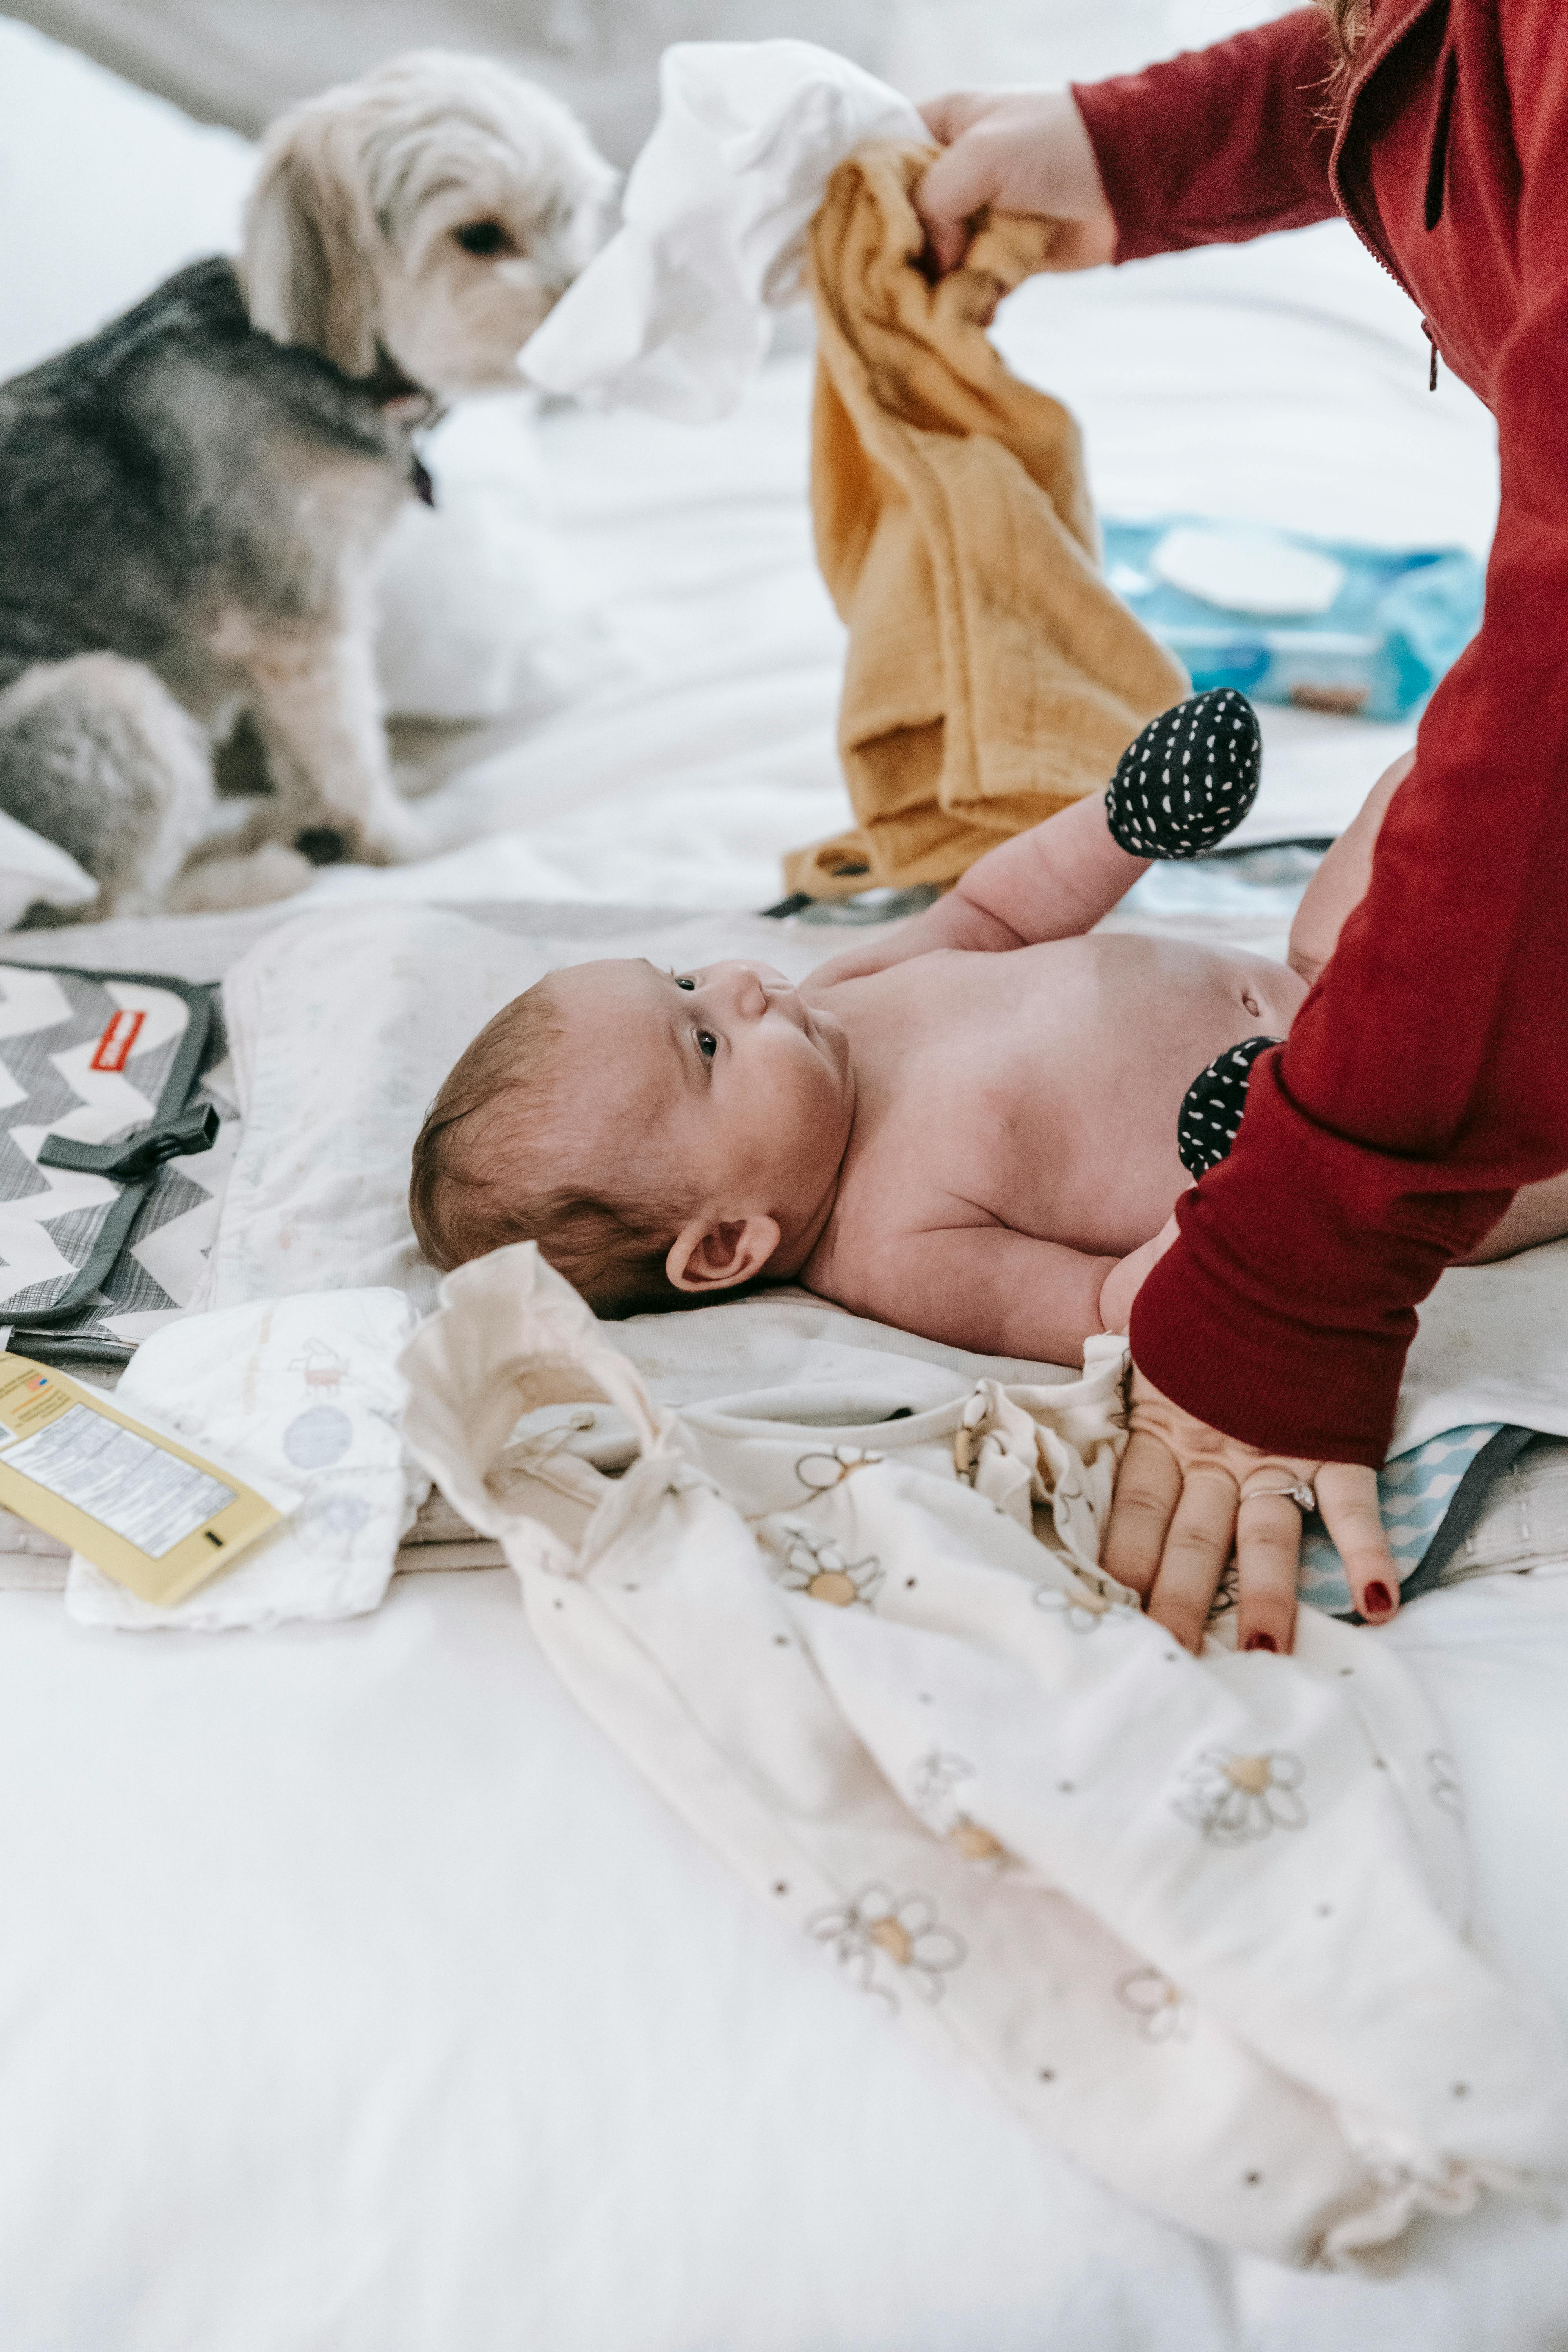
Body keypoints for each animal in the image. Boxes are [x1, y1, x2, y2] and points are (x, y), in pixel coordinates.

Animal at [0, 53, 621, 917]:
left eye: (573, 214)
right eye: (479, 237)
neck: (322, 364)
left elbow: (307, 755)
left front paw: (330, 813)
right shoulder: (300, 624)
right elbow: (347, 749)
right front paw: (403, 841)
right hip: (106, 704)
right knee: (108, 905)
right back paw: (255, 870)